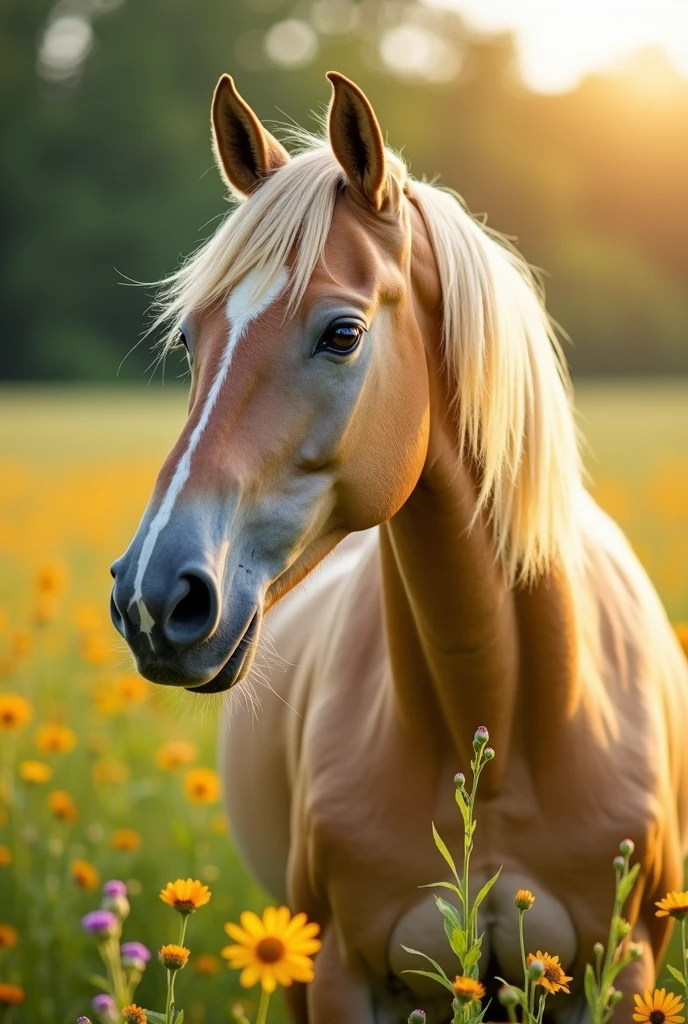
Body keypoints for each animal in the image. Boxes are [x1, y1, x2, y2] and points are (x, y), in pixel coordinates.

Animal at [111, 74, 688, 1024]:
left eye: (343, 334)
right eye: (192, 338)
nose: (155, 598)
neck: (498, 731)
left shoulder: (621, 972)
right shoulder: (337, 972)